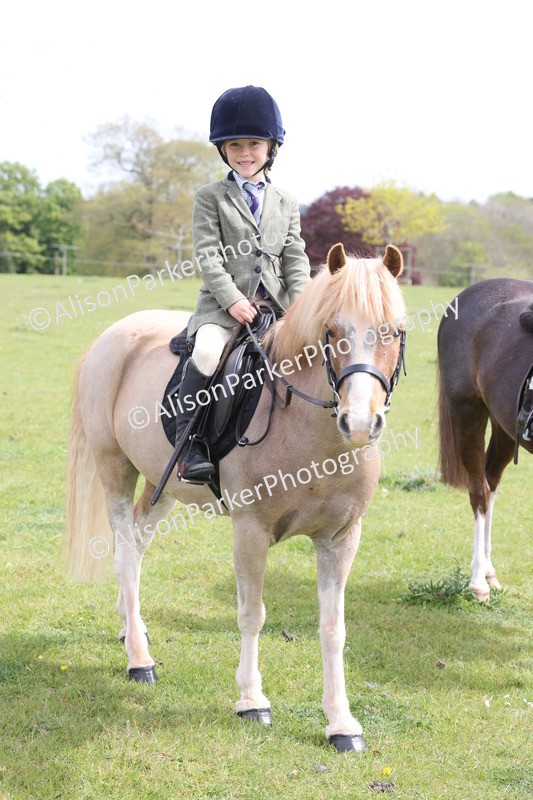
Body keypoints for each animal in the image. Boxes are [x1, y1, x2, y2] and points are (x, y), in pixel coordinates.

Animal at [65, 242, 407, 752]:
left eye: (395, 331)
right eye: (331, 331)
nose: (360, 424)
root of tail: (112, 334)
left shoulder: (341, 539)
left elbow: (333, 629)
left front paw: (341, 723)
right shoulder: (251, 532)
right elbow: (251, 614)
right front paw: (251, 701)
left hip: (163, 486)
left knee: (138, 548)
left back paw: (132, 627)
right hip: (114, 470)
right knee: (125, 553)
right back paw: (139, 660)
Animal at [437, 278, 533, 601]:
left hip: (504, 425)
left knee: (490, 483)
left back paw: (489, 572)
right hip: (468, 412)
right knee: (479, 490)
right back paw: (479, 579)